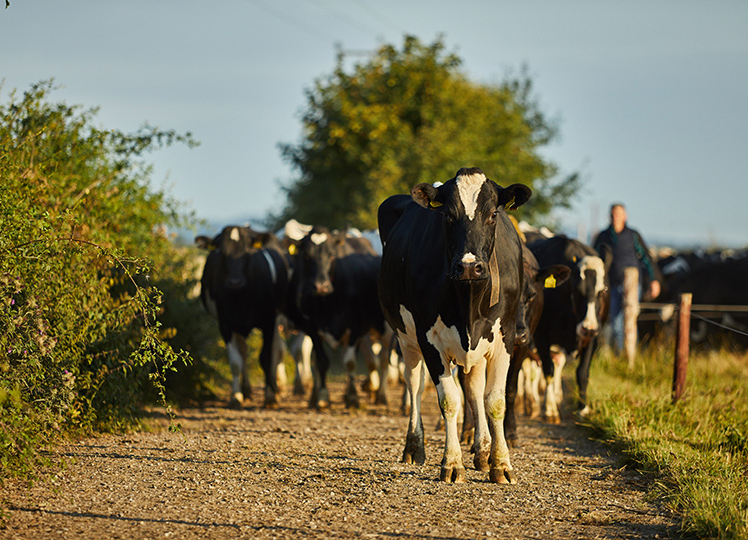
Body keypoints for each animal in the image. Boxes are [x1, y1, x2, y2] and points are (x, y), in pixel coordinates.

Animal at [196, 226, 290, 408]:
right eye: (222, 253)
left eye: (247, 253)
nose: (235, 282)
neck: (240, 297)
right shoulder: (225, 324)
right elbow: (235, 362)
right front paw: (236, 396)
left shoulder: (268, 321)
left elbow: (267, 357)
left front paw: (270, 397)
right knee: (244, 352)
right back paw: (246, 391)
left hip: (277, 320)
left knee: (277, 350)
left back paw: (276, 387)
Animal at [284, 226, 394, 408]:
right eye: (306, 255)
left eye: (331, 254)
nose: (320, 286)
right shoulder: (313, 328)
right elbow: (320, 361)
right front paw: (322, 396)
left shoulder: (355, 327)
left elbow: (350, 362)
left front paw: (352, 397)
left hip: (386, 330)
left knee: (385, 359)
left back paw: (381, 395)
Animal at [380, 167, 532, 484]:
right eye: (448, 216)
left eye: (493, 213)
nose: (469, 266)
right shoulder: (429, 338)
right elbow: (449, 400)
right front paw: (451, 463)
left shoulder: (506, 336)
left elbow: (494, 401)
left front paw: (501, 464)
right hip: (406, 339)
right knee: (414, 384)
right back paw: (414, 446)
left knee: (474, 389)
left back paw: (483, 451)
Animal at [528, 236, 612, 422]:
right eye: (576, 289)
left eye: (603, 290)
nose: (588, 327)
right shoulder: (541, 336)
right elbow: (548, 370)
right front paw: (550, 409)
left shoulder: (593, 337)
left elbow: (582, 372)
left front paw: (583, 408)